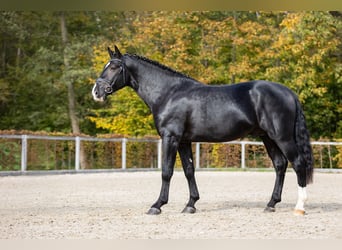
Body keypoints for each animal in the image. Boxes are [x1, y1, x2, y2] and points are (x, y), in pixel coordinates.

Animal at [92, 46, 314, 215]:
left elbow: (167, 171)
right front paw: (190, 205)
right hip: (267, 137)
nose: (96, 92)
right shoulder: (183, 141)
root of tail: (289, 92)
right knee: (280, 165)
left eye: (114, 67)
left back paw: (299, 207)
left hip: (282, 137)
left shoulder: (170, 138)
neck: (168, 93)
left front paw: (157, 206)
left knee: (298, 163)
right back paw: (271, 204)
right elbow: (189, 171)